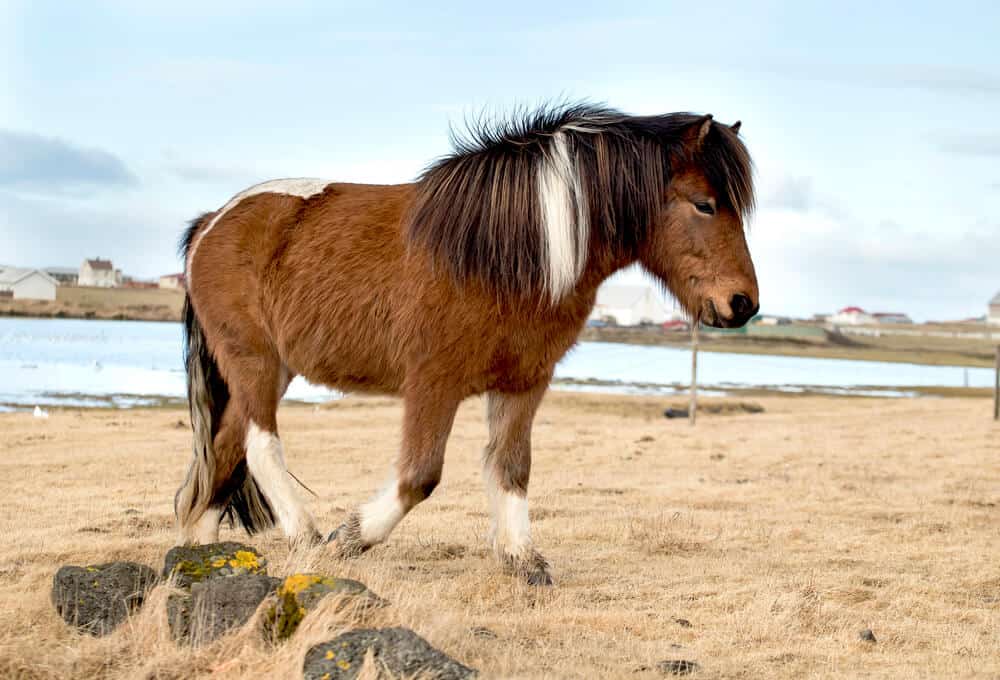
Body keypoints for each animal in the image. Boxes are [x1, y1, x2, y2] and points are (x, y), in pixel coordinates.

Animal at [174, 103, 758, 586]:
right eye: (705, 204)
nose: (742, 303)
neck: (509, 254)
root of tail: (211, 224)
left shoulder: (524, 382)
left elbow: (511, 466)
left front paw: (522, 558)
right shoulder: (433, 382)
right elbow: (420, 476)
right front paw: (350, 538)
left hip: (272, 369)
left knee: (223, 452)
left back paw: (204, 559)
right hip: (253, 360)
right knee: (260, 446)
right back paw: (306, 534)